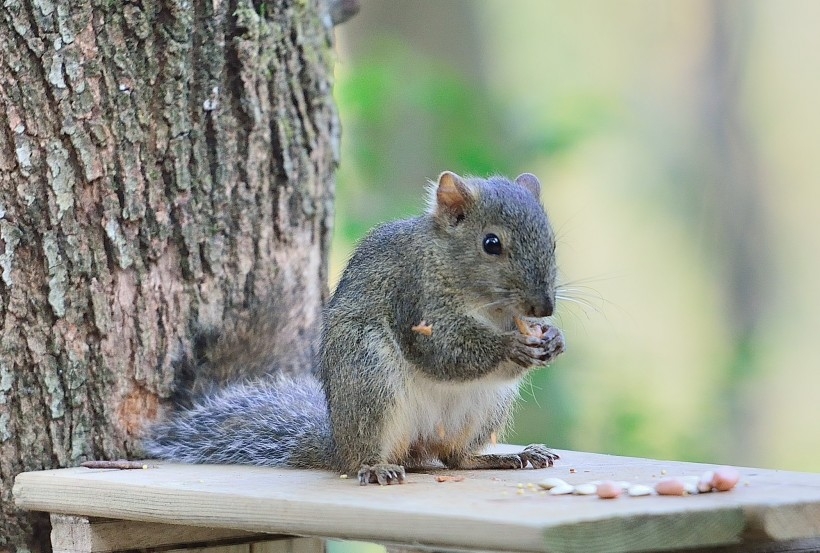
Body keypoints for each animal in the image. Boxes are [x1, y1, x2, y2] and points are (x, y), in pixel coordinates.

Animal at [146, 171, 564, 484]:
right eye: (491, 243)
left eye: (553, 242)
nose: (544, 307)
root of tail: (336, 443)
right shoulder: (415, 296)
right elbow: (442, 350)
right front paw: (511, 346)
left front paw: (553, 339)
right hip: (369, 375)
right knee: (366, 457)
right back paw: (375, 466)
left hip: (485, 407)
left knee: (454, 458)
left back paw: (504, 457)